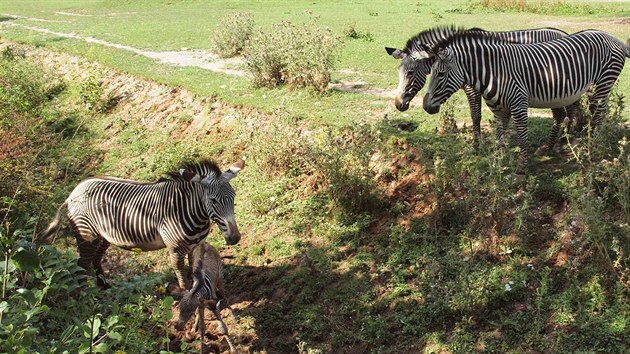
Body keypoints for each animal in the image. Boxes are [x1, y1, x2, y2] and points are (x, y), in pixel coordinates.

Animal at [39, 159, 246, 290]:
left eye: (233, 197)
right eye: (213, 201)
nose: (235, 238)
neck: (188, 209)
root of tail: (73, 192)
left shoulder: (195, 246)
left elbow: (196, 273)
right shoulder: (175, 250)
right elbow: (182, 277)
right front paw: (186, 296)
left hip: (103, 236)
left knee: (96, 259)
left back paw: (104, 286)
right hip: (86, 235)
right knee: (82, 265)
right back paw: (87, 297)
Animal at [386, 26, 584, 148]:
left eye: (410, 73)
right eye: (398, 72)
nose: (398, 104)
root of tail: (563, 33)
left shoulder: (472, 88)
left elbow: (475, 115)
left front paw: (476, 145)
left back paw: (567, 138)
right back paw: (569, 135)